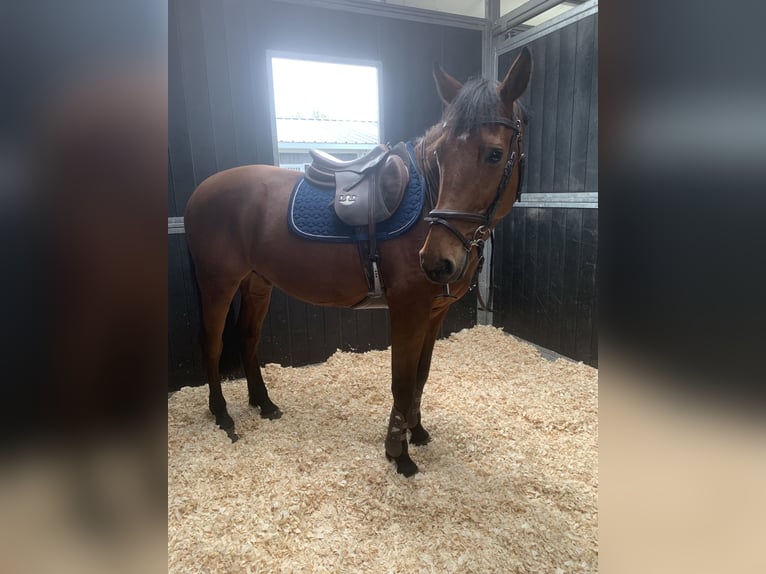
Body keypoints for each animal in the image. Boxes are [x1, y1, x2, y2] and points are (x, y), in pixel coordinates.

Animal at [184, 48, 531, 477]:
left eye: (495, 154)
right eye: (441, 155)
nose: (436, 261)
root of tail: (200, 192)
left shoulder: (436, 312)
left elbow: (421, 376)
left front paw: (416, 431)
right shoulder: (408, 310)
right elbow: (402, 381)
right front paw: (399, 454)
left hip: (257, 283)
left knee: (248, 338)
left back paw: (263, 404)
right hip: (217, 283)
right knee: (212, 342)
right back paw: (222, 414)